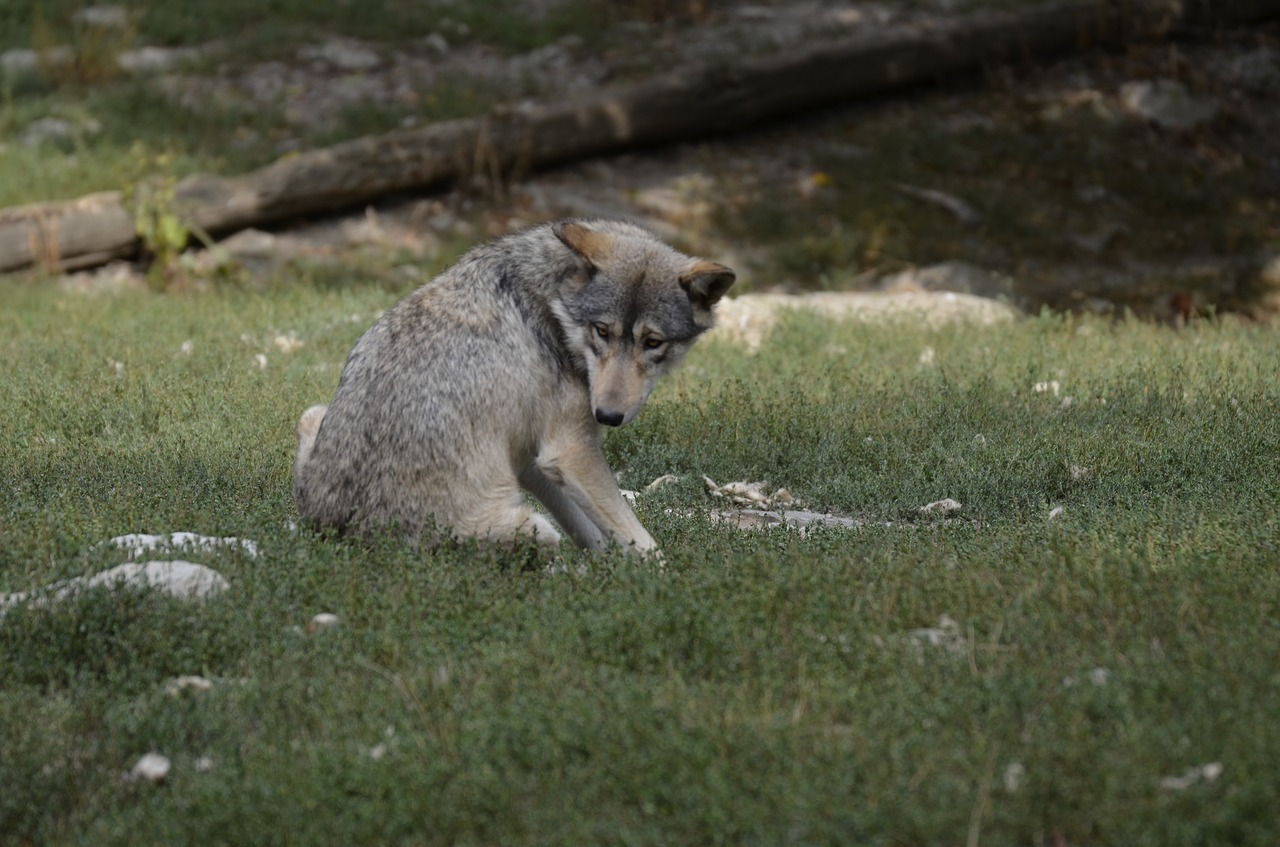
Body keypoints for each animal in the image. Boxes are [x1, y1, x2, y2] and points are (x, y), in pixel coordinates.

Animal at [290, 218, 732, 557]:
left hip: (312, 415)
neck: (553, 303)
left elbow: (594, 533)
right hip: (534, 527)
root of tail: (339, 535)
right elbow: (644, 545)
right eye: (603, 331)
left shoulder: (531, 460)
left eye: (653, 342)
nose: (606, 415)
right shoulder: (569, 452)